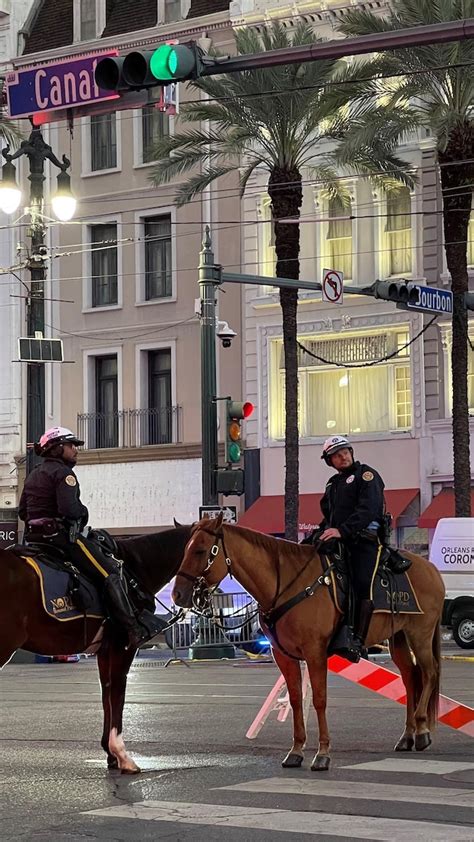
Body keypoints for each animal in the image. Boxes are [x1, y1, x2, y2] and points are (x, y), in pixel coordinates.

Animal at [0, 524, 193, 776]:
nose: (184, 596)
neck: (134, 568)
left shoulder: (105, 650)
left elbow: (106, 694)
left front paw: (111, 755)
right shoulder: (124, 647)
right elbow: (118, 693)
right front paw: (122, 755)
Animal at [173, 512, 444, 768]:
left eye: (200, 550)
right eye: (184, 549)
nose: (177, 595)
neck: (287, 584)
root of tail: (431, 569)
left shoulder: (315, 654)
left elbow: (319, 700)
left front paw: (322, 753)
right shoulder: (284, 656)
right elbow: (295, 700)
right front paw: (296, 750)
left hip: (420, 634)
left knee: (429, 673)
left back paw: (422, 730)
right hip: (398, 637)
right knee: (410, 677)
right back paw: (407, 735)